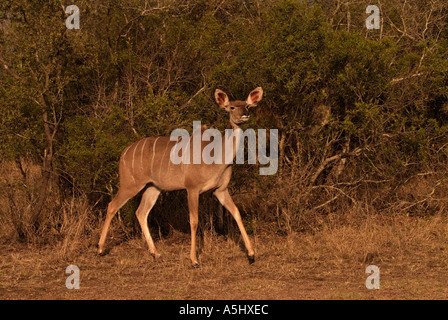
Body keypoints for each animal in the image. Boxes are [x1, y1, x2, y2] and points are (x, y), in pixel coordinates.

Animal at [96, 86, 260, 266]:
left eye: (247, 105)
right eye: (231, 107)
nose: (245, 114)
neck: (216, 157)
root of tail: (123, 154)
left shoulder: (220, 190)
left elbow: (236, 213)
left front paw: (252, 255)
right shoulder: (192, 188)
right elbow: (194, 221)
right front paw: (194, 260)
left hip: (153, 187)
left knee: (141, 212)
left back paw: (156, 253)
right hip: (130, 184)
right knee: (112, 205)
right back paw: (100, 249)